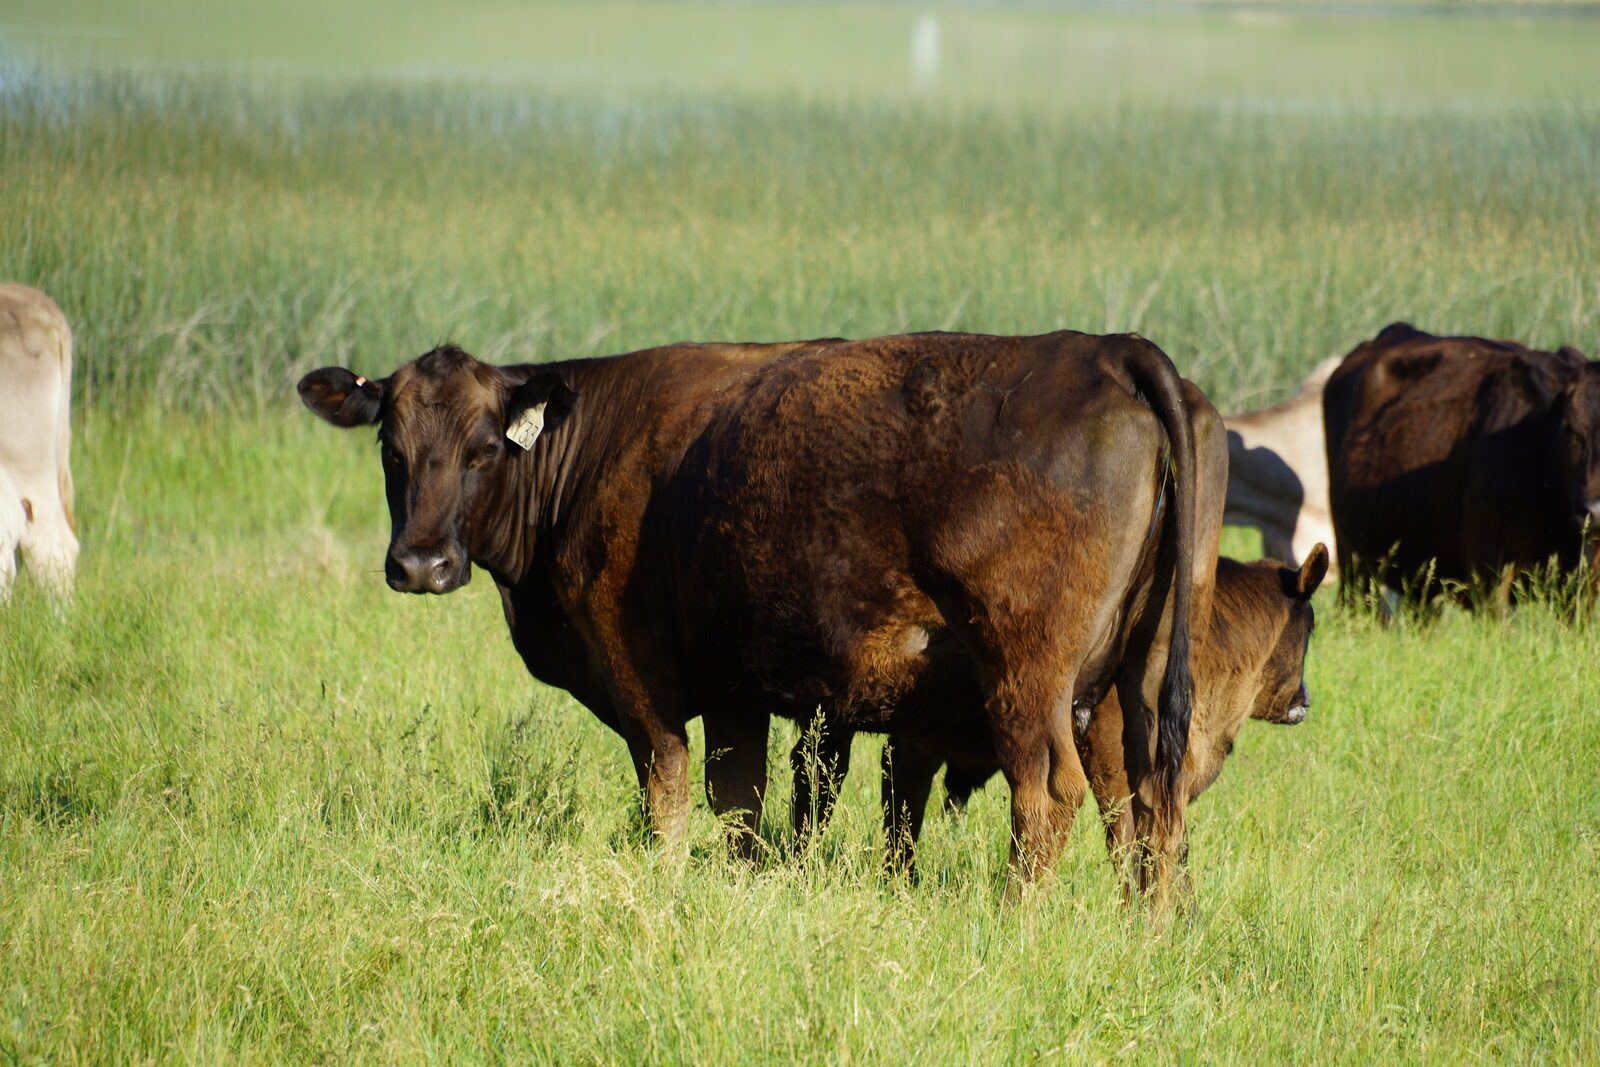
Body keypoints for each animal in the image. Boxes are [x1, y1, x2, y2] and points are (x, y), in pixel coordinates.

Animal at [298, 329, 1210, 901]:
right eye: (390, 449)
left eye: (484, 448)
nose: (421, 563)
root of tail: (1102, 349)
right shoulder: (739, 692)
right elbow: (739, 803)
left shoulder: (643, 679)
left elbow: (667, 794)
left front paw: (665, 887)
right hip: (1129, 684)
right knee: (1146, 805)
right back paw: (1147, 932)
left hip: (1028, 674)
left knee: (1048, 794)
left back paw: (1017, 926)